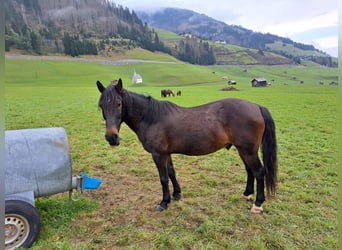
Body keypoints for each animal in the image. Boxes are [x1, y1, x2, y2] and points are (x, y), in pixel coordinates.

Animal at [97, 78, 278, 213]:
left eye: (119, 104)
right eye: (101, 106)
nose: (111, 137)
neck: (152, 117)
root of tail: (256, 107)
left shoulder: (158, 154)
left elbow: (163, 178)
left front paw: (164, 202)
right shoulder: (166, 153)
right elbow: (171, 173)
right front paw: (176, 194)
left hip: (248, 151)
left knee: (259, 172)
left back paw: (257, 204)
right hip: (243, 150)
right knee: (250, 170)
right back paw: (247, 194)